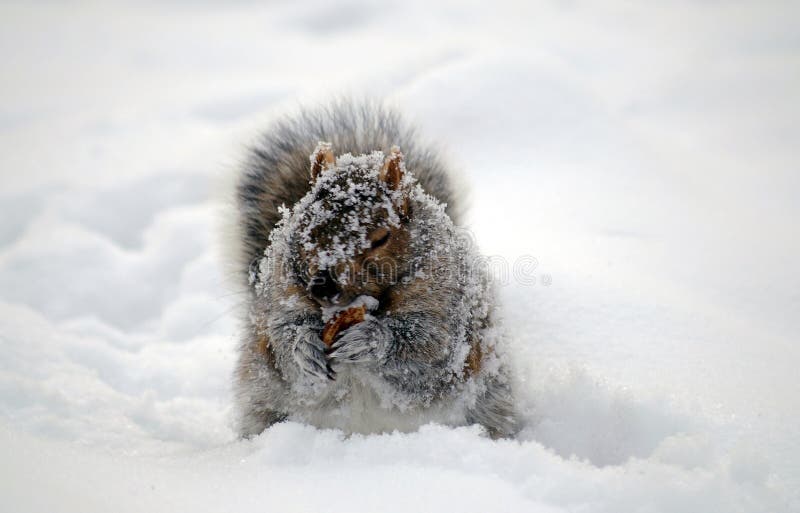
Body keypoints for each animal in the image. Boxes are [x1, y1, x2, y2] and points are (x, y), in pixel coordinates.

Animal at [231, 100, 520, 436]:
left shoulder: (446, 305)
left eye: (381, 238)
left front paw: (371, 340)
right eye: (304, 229)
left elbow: (428, 350)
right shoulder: (280, 294)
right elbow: (280, 340)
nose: (323, 285)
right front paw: (304, 347)